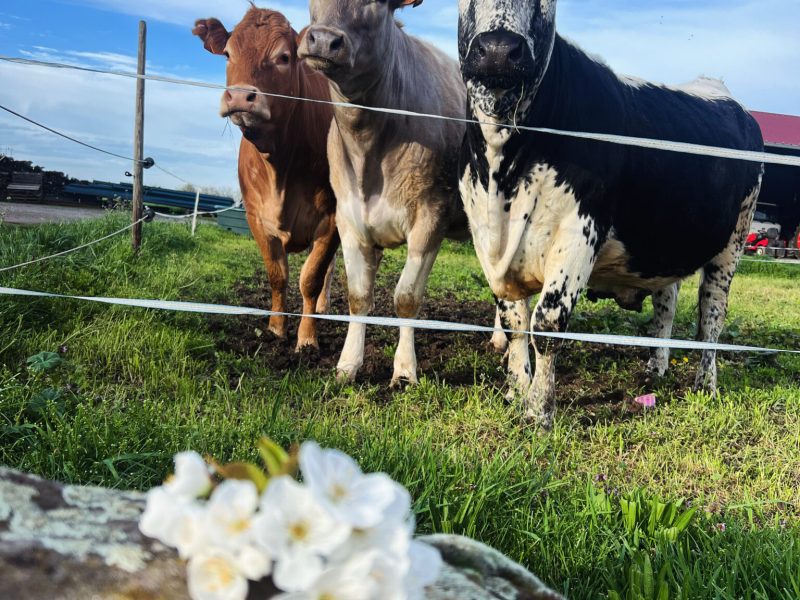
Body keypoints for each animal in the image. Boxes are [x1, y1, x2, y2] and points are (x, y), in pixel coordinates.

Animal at [193, 7, 338, 351]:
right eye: (228, 54)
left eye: (283, 57)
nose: (239, 97)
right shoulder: (256, 216)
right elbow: (277, 275)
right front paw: (275, 329)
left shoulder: (333, 217)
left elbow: (310, 278)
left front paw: (307, 340)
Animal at [299, 0, 501, 386]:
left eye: (375, 4)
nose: (323, 40)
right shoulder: (349, 220)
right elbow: (359, 296)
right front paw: (348, 364)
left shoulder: (430, 216)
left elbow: (406, 297)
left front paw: (405, 371)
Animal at [457, 0, 764, 428]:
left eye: (546, 4)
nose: (499, 50)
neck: (503, 168)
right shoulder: (486, 238)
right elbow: (515, 323)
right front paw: (516, 393)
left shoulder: (579, 231)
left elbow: (547, 324)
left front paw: (539, 411)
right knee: (666, 303)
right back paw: (656, 369)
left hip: (732, 242)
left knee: (711, 316)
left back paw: (706, 384)